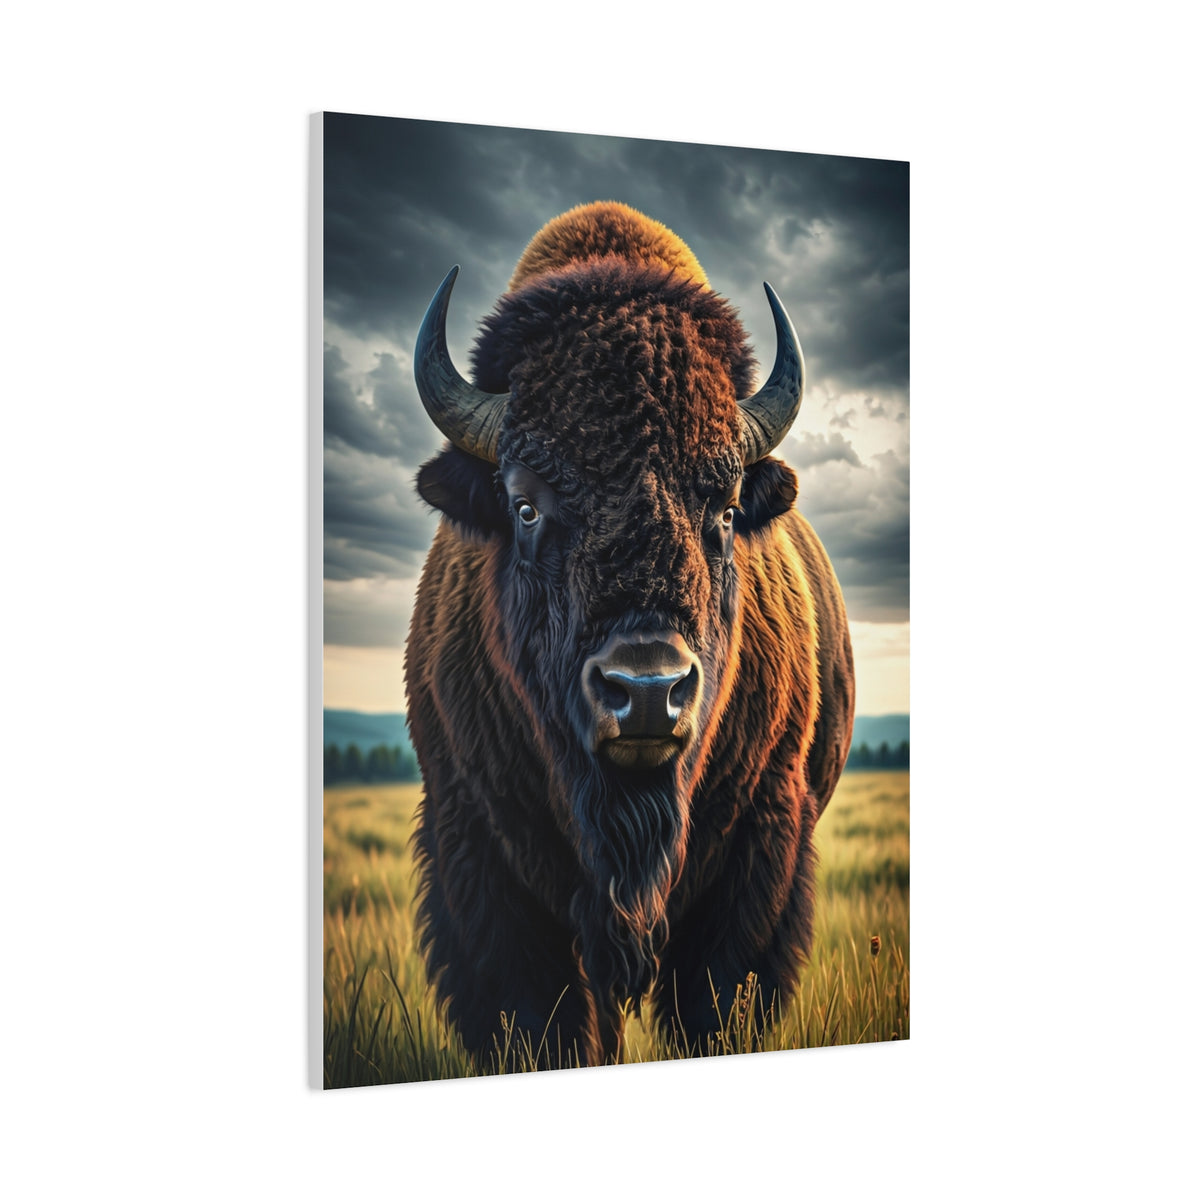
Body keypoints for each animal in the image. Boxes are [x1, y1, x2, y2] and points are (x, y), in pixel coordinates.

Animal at [406, 201, 854, 1067]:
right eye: (525, 505)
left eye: (725, 508)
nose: (647, 692)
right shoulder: (477, 851)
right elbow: (541, 1018)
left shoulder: (760, 852)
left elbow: (714, 1001)